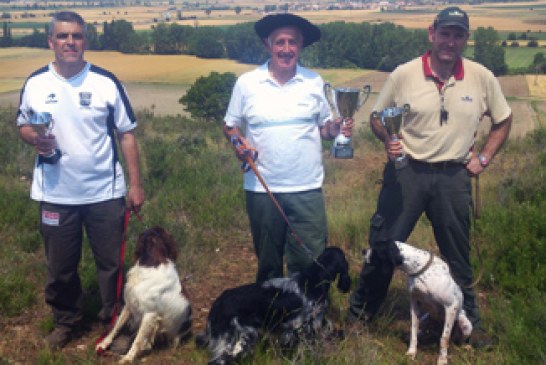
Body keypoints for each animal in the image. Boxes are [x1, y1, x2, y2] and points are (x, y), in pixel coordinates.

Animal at [95, 225, 191, 362]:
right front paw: (104, 343)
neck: (151, 262)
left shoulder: (150, 314)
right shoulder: (129, 304)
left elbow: (137, 341)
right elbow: (116, 326)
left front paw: (128, 358)